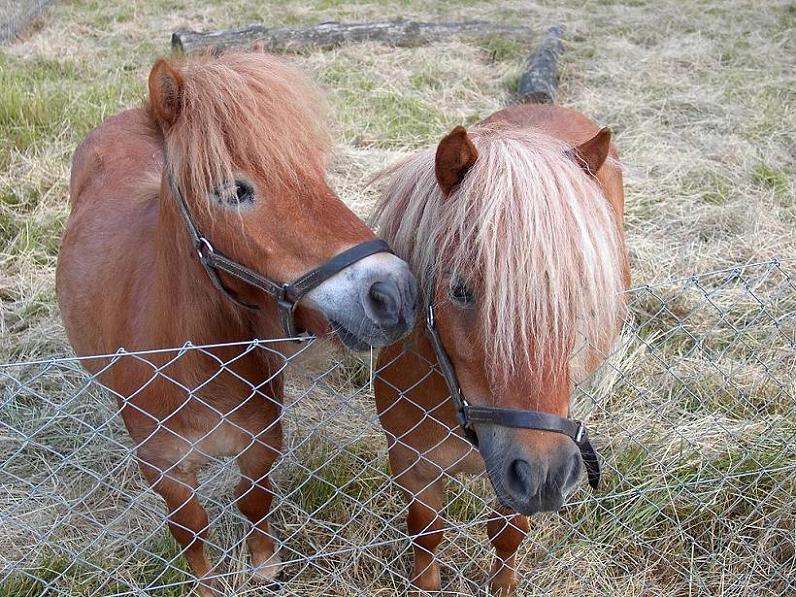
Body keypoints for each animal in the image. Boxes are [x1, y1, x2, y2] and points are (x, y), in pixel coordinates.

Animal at [56, 51, 416, 592]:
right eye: (231, 191)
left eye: (315, 173)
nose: (394, 293)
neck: (192, 362)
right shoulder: (166, 471)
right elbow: (190, 530)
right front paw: (206, 585)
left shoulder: (260, 441)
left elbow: (254, 502)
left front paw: (265, 569)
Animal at [374, 102, 628, 592]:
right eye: (459, 291)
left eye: (580, 295)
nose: (547, 475)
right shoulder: (413, 461)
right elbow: (426, 530)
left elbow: (508, 532)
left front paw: (503, 586)